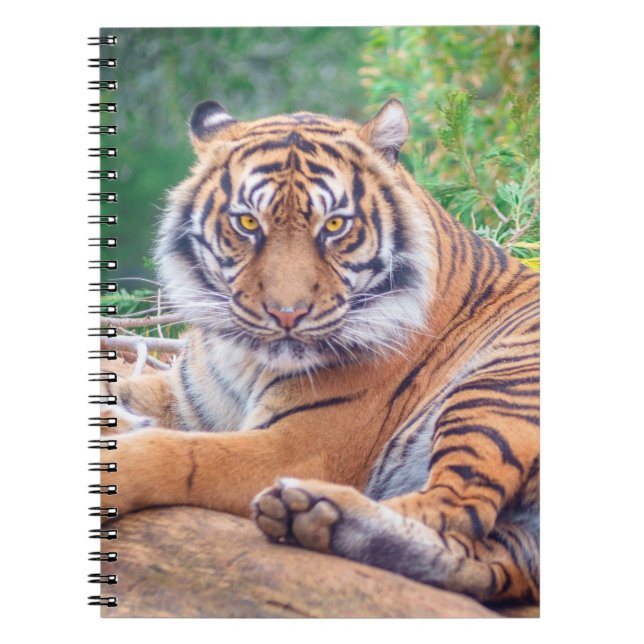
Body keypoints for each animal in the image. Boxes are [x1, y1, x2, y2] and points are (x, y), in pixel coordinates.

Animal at [103, 98, 540, 607]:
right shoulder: (184, 398)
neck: (244, 356)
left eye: (334, 225)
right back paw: (313, 517)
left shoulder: (296, 447)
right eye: (247, 222)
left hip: (496, 387)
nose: (286, 314)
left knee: (454, 509)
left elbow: (176, 453)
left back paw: (315, 506)